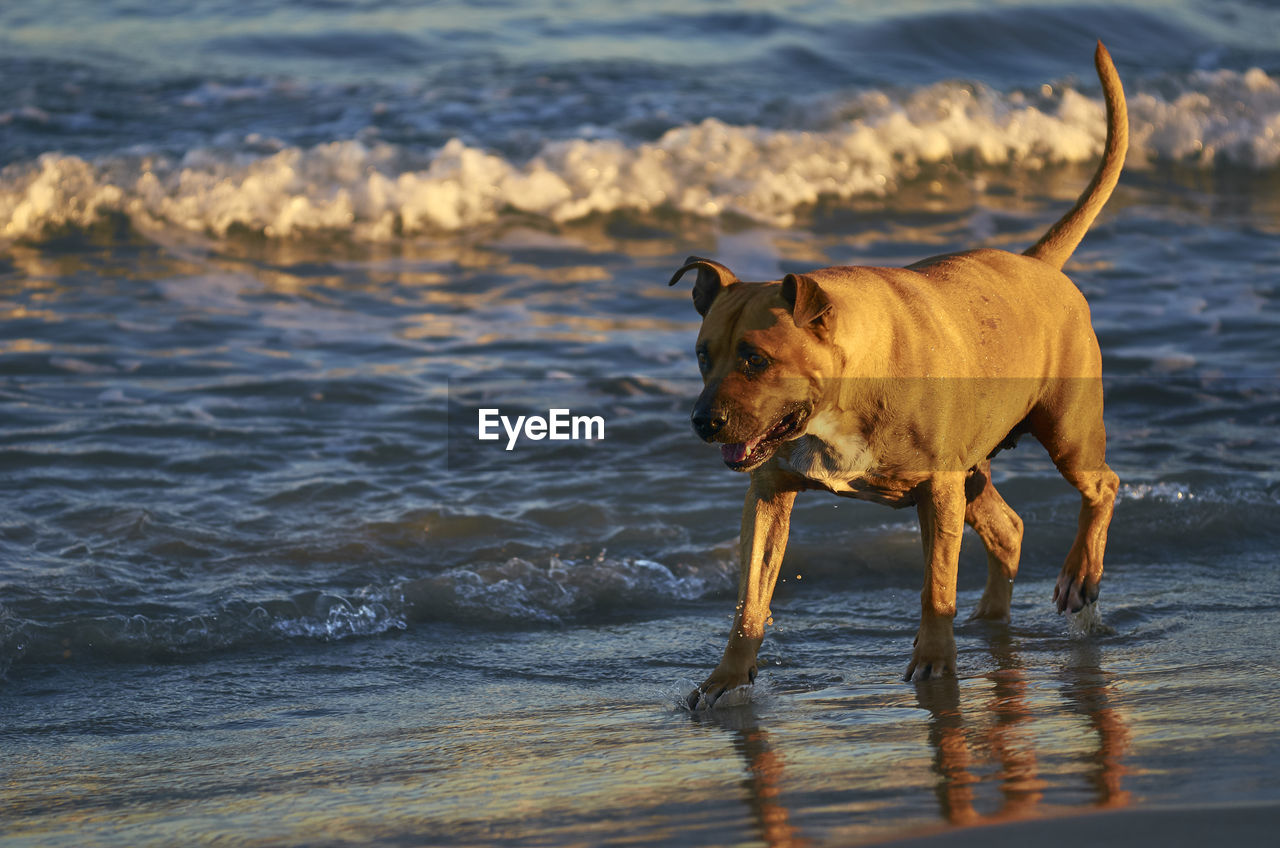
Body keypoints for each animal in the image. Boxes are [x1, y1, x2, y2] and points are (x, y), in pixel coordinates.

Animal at [675, 43, 1126, 707]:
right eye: (704, 355)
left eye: (756, 358)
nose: (704, 422)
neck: (847, 387)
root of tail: (1037, 265)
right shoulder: (770, 494)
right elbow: (749, 599)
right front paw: (727, 676)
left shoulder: (936, 491)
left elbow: (935, 584)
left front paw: (936, 661)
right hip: (973, 471)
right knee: (1009, 528)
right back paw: (991, 623)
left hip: (1066, 432)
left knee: (1103, 486)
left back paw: (1080, 574)